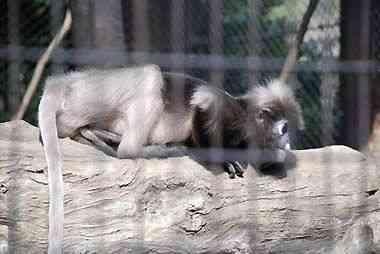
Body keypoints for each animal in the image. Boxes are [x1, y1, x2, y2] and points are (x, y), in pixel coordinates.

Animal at [38, 64, 302, 253]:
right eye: (285, 129)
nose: (289, 142)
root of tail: (66, 81)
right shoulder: (230, 112)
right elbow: (203, 103)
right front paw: (221, 158)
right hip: (90, 96)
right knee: (150, 79)